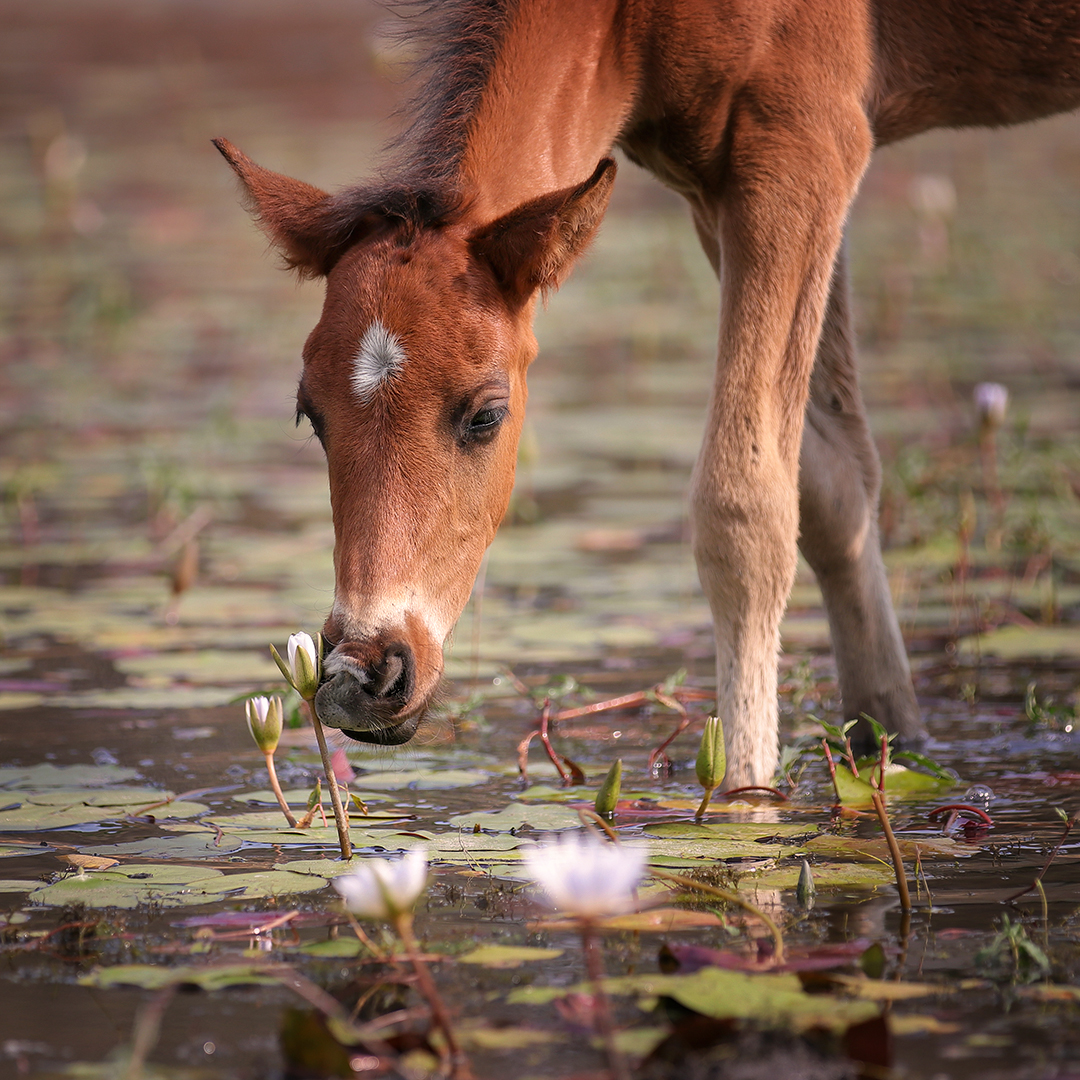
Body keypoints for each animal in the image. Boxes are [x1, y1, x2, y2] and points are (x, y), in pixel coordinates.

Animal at [217, 4, 1080, 790]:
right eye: (311, 417)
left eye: (486, 415)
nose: (359, 677)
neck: (628, 24)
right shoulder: (715, 183)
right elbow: (832, 482)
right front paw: (889, 743)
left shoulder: (804, 148)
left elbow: (746, 506)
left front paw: (744, 799)